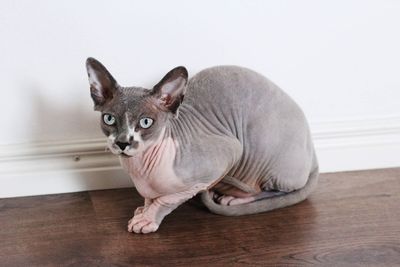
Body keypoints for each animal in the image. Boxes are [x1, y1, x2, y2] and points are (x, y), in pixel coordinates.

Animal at [84, 58, 318, 234]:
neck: (141, 169)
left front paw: (148, 218)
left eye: (146, 122)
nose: (122, 142)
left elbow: (167, 199)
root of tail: (313, 152)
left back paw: (234, 198)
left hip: (260, 147)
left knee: (275, 190)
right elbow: (150, 197)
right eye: (109, 119)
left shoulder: (227, 153)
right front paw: (144, 209)